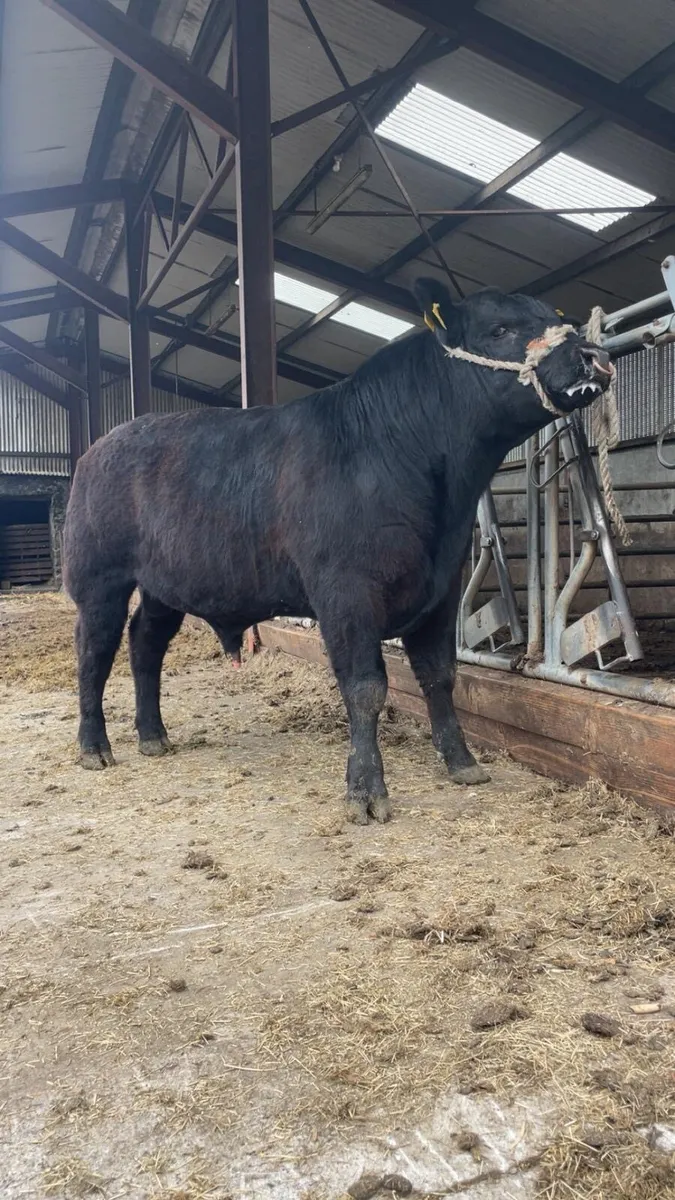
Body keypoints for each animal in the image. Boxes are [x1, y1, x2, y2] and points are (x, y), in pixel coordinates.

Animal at [63, 278, 611, 824]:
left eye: (556, 317)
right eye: (499, 329)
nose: (592, 356)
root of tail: (102, 444)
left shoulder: (443, 586)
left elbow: (439, 676)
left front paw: (462, 763)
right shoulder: (346, 591)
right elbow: (365, 688)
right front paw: (366, 792)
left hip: (164, 585)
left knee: (145, 644)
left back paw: (153, 735)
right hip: (99, 579)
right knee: (94, 652)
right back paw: (94, 747)